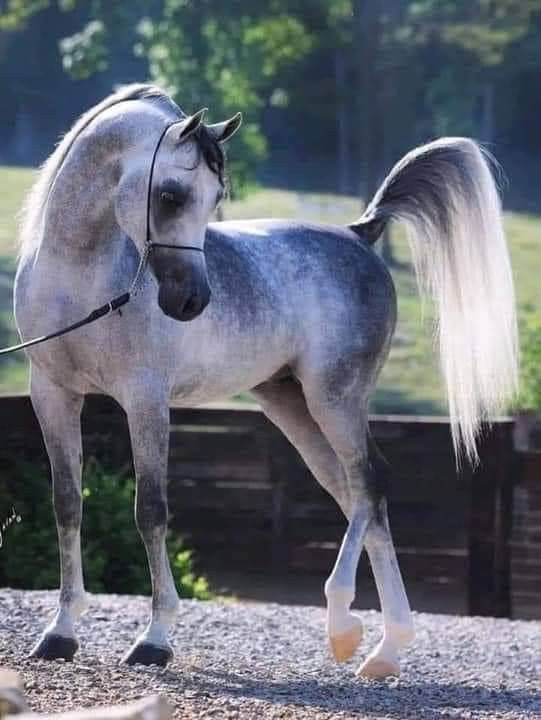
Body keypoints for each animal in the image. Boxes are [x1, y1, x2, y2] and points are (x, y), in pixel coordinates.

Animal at [14, 83, 516, 676]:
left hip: (334, 399)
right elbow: (67, 503)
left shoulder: (145, 400)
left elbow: (151, 510)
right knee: (355, 495)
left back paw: (345, 626)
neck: (81, 275)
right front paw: (60, 632)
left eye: (214, 198)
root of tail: (360, 234)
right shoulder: (53, 395)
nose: (192, 301)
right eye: (170, 196)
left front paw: (155, 640)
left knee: (370, 480)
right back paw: (385, 648)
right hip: (289, 404)